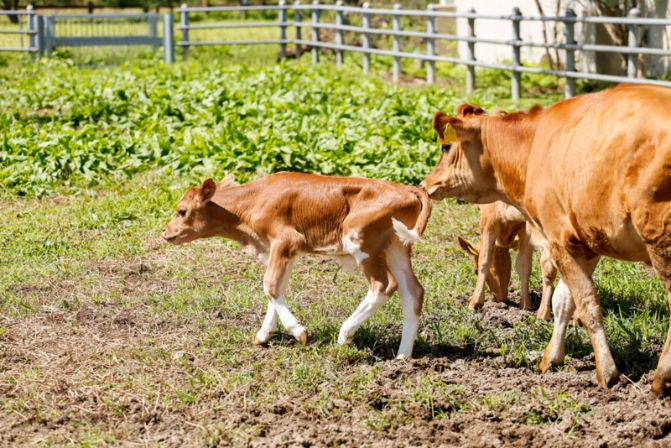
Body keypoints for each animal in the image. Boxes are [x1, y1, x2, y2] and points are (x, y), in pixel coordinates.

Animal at [165, 172, 434, 360]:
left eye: (182, 211)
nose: (165, 232)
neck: (254, 201)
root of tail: (405, 189)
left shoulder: (286, 240)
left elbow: (270, 285)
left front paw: (298, 331)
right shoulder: (283, 250)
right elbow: (278, 287)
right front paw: (263, 335)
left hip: (362, 240)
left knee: (384, 285)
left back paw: (345, 334)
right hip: (396, 246)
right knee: (413, 292)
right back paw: (403, 356)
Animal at [422, 84, 671, 396]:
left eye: (445, 147)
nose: (426, 184)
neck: (532, 146)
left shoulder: (559, 240)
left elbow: (587, 303)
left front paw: (607, 372)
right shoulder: (585, 244)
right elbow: (564, 299)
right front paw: (552, 357)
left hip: (661, 243)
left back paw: (661, 378)